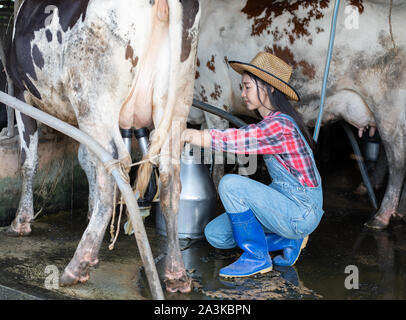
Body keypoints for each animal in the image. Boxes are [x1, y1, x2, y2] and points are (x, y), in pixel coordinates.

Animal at [7, 0, 201, 294]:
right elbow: (85, 160)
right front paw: (89, 209)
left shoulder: (21, 94)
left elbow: (28, 161)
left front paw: (21, 221)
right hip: (177, 101)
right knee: (170, 181)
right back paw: (176, 274)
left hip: (93, 100)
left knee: (114, 170)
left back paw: (79, 265)